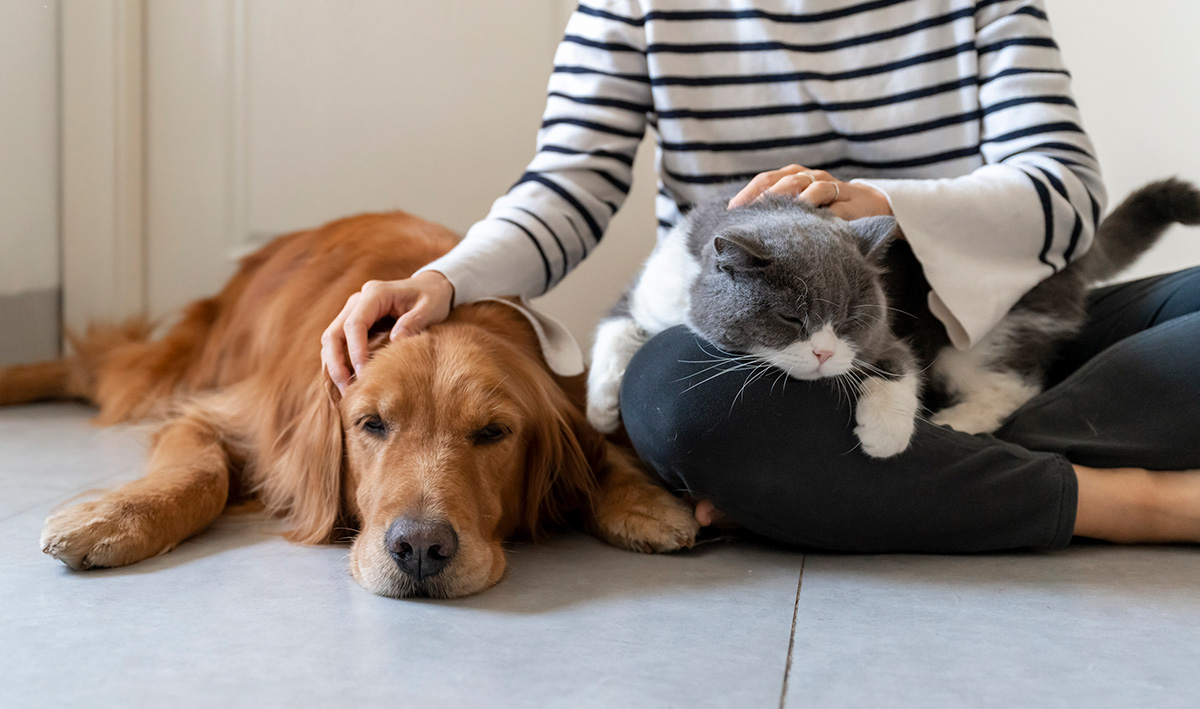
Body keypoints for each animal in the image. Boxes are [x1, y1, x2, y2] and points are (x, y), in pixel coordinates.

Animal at [0, 212, 700, 599]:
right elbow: (199, 474)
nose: (420, 549)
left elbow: (602, 450)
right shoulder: (222, 415)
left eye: (493, 433)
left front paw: (644, 502)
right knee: (94, 366)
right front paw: (111, 518)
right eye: (372, 424)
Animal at [588, 179, 1200, 460]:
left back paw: (959, 422)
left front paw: (883, 435)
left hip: (983, 332)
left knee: (1011, 383)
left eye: (850, 320)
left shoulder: (891, 336)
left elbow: (898, 366)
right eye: (790, 317)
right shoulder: (646, 290)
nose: (824, 353)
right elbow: (614, 327)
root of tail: (1075, 246)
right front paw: (599, 409)